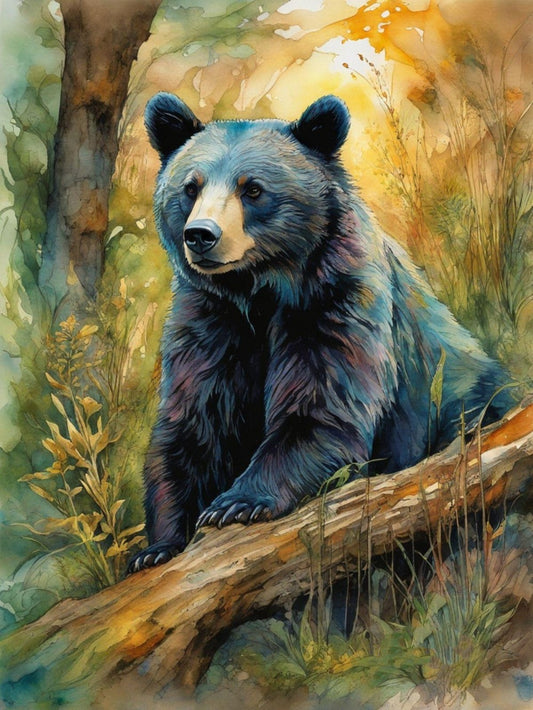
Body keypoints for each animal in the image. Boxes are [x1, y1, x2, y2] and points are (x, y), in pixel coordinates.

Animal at [127, 93, 512, 573]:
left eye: (252, 189)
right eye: (190, 187)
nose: (200, 235)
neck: (259, 291)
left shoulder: (334, 302)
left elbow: (321, 407)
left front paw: (237, 503)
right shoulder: (209, 323)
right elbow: (195, 423)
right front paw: (157, 547)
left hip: (464, 404)